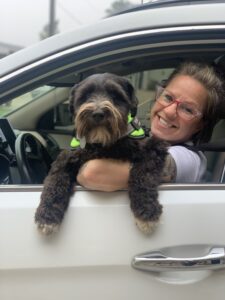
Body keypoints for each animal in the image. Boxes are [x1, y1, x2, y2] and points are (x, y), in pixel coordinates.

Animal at [35, 72, 168, 234]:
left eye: (115, 95)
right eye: (85, 96)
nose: (98, 113)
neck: (103, 143)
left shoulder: (154, 148)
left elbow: (143, 175)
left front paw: (147, 212)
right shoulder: (67, 157)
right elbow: (55, 178)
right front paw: (47, 215)